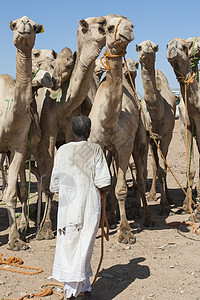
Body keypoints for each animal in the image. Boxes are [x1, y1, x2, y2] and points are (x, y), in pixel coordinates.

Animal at [31, 17, 107, 241]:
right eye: (54, 64)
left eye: (69, 62)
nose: (54, 81)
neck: (62, 106)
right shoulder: (48, 133)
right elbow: (48, 178)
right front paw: (45, 229)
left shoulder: (71, 131)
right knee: (39, 175)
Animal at [88, 16, 152, 244]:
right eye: (108, 27)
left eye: (131, 24)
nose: (127, 30)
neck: (108, 119)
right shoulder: (98, 145)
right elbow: (104, 186)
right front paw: (101, 226)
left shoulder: (124, 145)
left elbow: (122, 188)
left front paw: (125, 232)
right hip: (111, 151)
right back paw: (114, 214)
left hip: (139, 140)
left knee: (140, 178)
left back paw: (146, 216)